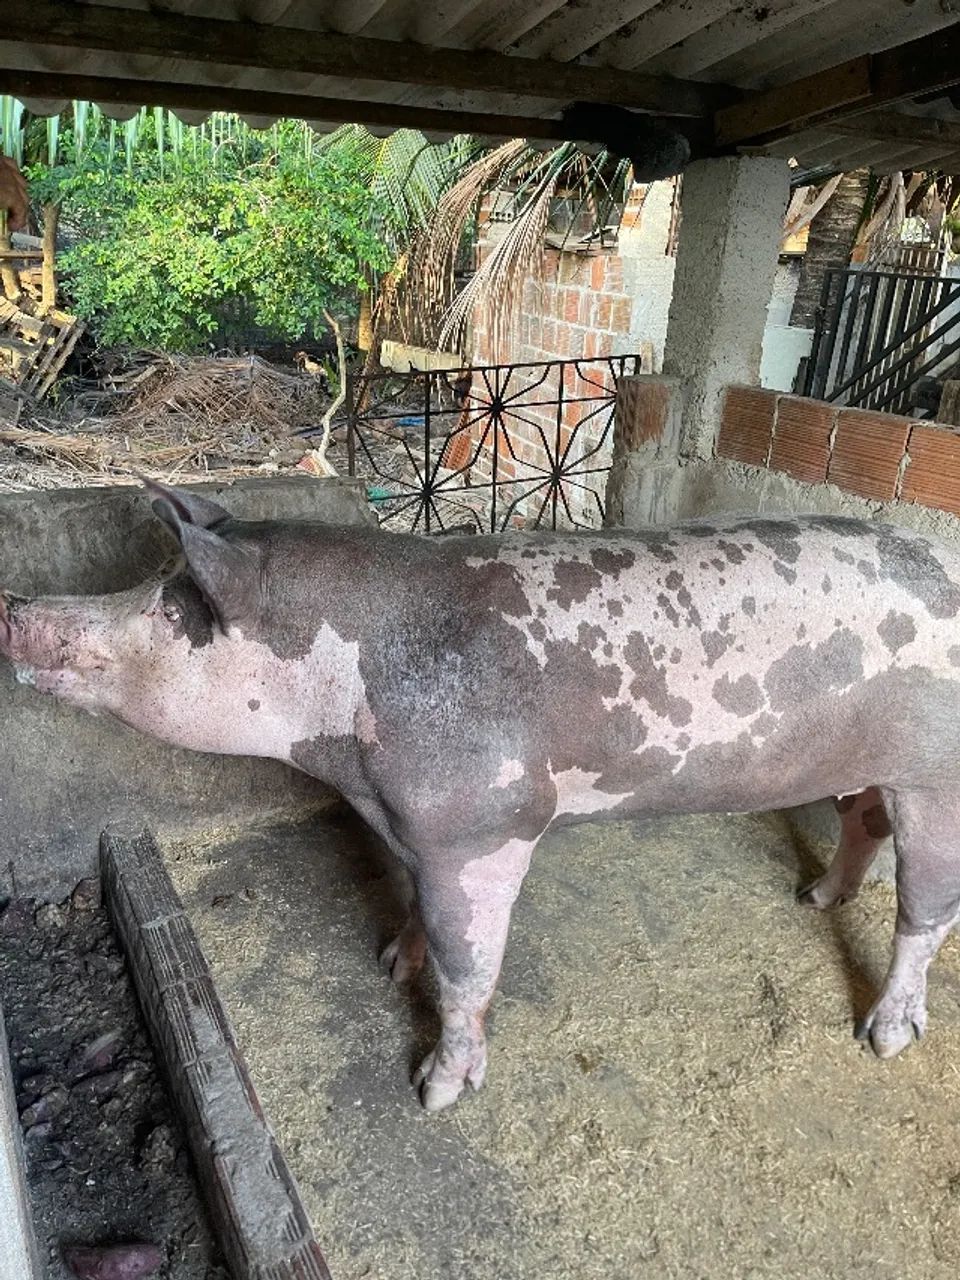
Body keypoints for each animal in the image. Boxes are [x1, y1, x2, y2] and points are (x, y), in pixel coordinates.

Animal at [2, 481, 960, 1111]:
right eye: (150, 585)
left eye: (171, 612)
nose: (16, 607)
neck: (343, 742)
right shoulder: (412, 827)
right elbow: (419, 909)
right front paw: (392, 959)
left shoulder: (484, 826)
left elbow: (471, 967)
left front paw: (435, 1092)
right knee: (862, 819)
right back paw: (815, 898)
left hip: (938, 779)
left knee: (926, 910)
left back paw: (885, 1036)